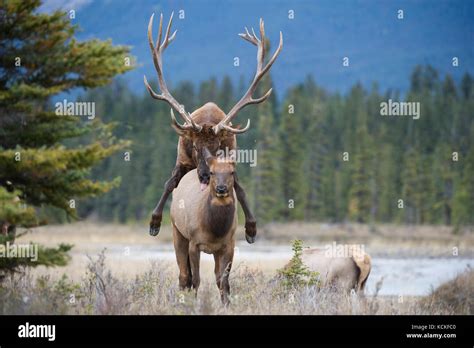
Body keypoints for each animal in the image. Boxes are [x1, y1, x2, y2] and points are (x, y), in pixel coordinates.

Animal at [143, 12, 284, 243]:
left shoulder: (231, 158)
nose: (205, 176)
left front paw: (251, 228)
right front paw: (154, 222)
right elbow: (169, 182)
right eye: (195, 146)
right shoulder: (182, 157)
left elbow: (241, 189)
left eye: (218, 147)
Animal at [170, 147, 237, 304]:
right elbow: (196, 279)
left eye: (232, 172)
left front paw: (227, 304)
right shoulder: (194, 243)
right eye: (212, 172)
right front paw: (194, 303)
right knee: (184, 275)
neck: (215, 229)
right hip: (178, 232)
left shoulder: (228, 245)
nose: (221, 188)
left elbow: (223, 281)